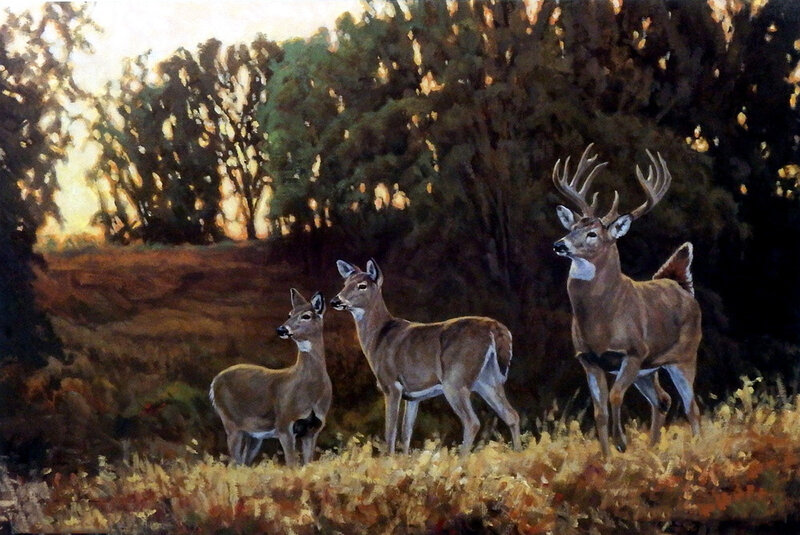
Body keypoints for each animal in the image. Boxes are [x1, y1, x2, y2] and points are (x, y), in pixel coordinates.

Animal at [210, 289, 331, 466]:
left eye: (306, 315)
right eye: (289, 313)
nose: (281, 329)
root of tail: (214, 383)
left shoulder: (313, 429)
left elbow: (307, 464)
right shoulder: (284, 424)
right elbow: (292, 465)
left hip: (253, 433)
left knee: (243, 462)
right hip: (231, 421)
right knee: (235, 462)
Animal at [330, 259, 521, 456]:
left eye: (362, 285)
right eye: (345, 283)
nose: (335, 300)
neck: (378, 338)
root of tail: (495, 328)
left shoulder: (391, 385)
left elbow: (390, 431)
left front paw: (389, 459)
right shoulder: (413, 396)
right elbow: (406, 432)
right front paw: (404, 459)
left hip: (456, 379)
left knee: (472, 421)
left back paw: (462, 459)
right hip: (487, 379)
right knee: (512, 415)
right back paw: (518, 453)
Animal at [551, 144, 702, 457]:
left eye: (592, 234)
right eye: (572, 229)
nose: (560, 245)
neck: (601, 320)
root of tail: (680, 284)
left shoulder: (633, 351)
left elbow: (616, 396)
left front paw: (621, 442)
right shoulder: (588, 359)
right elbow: (599, 411)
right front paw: (607, 457)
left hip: (684, 355)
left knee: (691, 406)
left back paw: (697, 447)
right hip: (650, 369)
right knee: (663, 399)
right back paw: (653, 449)